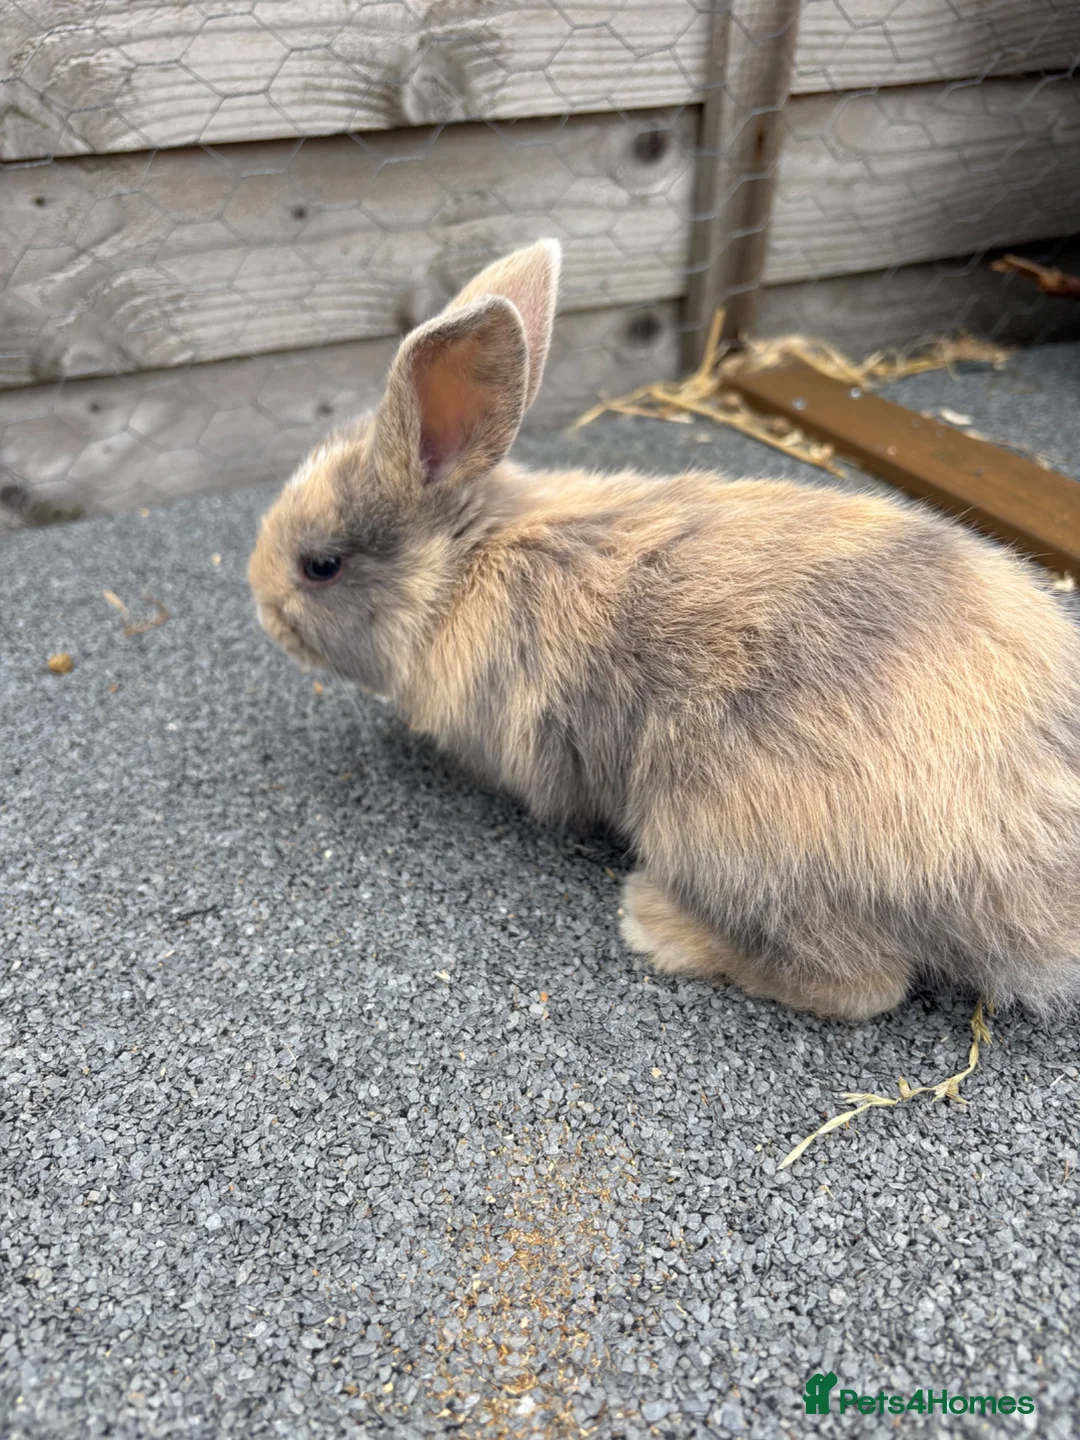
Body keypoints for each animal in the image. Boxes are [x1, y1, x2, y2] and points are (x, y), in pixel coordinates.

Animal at [248, 238, 1080, 1021]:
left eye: (320, 566)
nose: (259, 601)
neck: (464, 565)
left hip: (733, 839)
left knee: (863, 985)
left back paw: (655, 925)